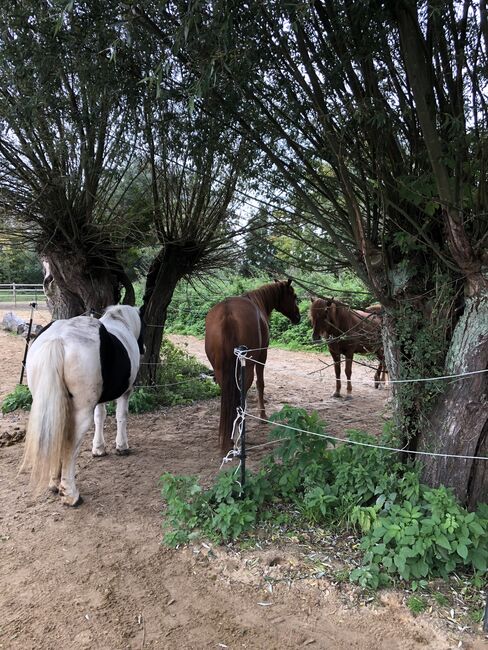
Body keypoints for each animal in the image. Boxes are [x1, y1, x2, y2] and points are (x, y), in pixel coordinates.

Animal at [21, 304, 143, 506]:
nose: (143, 347)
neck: (120, 323)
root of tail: (58, 339)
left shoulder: (98, 400)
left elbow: (100, 417)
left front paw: (99, 448)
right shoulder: (126, 392)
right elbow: (121, 416)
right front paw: (121, 446)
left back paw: (54, 483)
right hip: (80, 412)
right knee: (70, 443)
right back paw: (71, 494)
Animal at [203, 278, 302, 450]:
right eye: (294, 296)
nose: (298, 316)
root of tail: (228, 313)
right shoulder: (262, 355)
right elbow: (260, 383)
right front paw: (263, 415)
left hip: (220, 369)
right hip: (247, 366)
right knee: (243, 389)